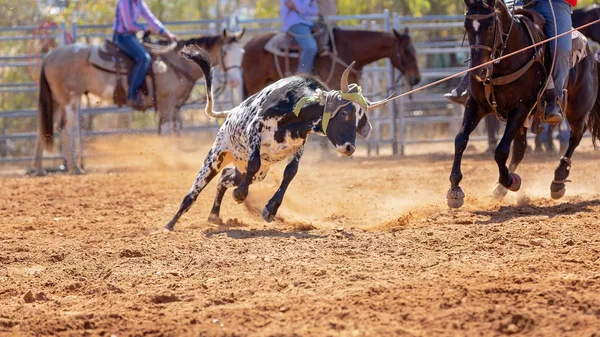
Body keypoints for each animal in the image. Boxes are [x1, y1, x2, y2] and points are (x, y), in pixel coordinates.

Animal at [31, 29, 244, 176]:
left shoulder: (175, 106)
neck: (176, 63)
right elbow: (166, 131)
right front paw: (167, 161)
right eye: (225, 52)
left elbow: (174, 132)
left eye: (241, 52)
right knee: (65, 129)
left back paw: (39, 168)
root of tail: (50, 55)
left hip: (57, 101)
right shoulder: (167, 102)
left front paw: (175, 158)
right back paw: (74, 167)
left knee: (46, 129)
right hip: (69, 99)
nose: (235, 81)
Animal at [164, 46, 390, 230]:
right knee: (194, 192)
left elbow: (290, 173)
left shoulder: (299, 145)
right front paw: (240, 194)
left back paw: (213, 216)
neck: (295, 106)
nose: (349, 148)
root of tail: (230, 113)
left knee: (226, 177)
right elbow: (255, 162)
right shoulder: (255, 129)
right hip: (216, 156)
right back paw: (170, 225)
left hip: (254, 171)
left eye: (361, 121)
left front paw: (270, 210)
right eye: (344, 113)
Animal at [448, 0, 600, 207]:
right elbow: (460, 139)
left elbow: (501, 150)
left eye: (490, 26)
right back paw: (499, 190)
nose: (478, 71)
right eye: (466, 26)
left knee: (575, 136)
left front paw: (510, 181)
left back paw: (558, 180)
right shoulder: (476, 104)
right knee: (520, 150)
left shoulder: (521, 107)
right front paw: (455, 188)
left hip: (577, 109)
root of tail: (591, 53)